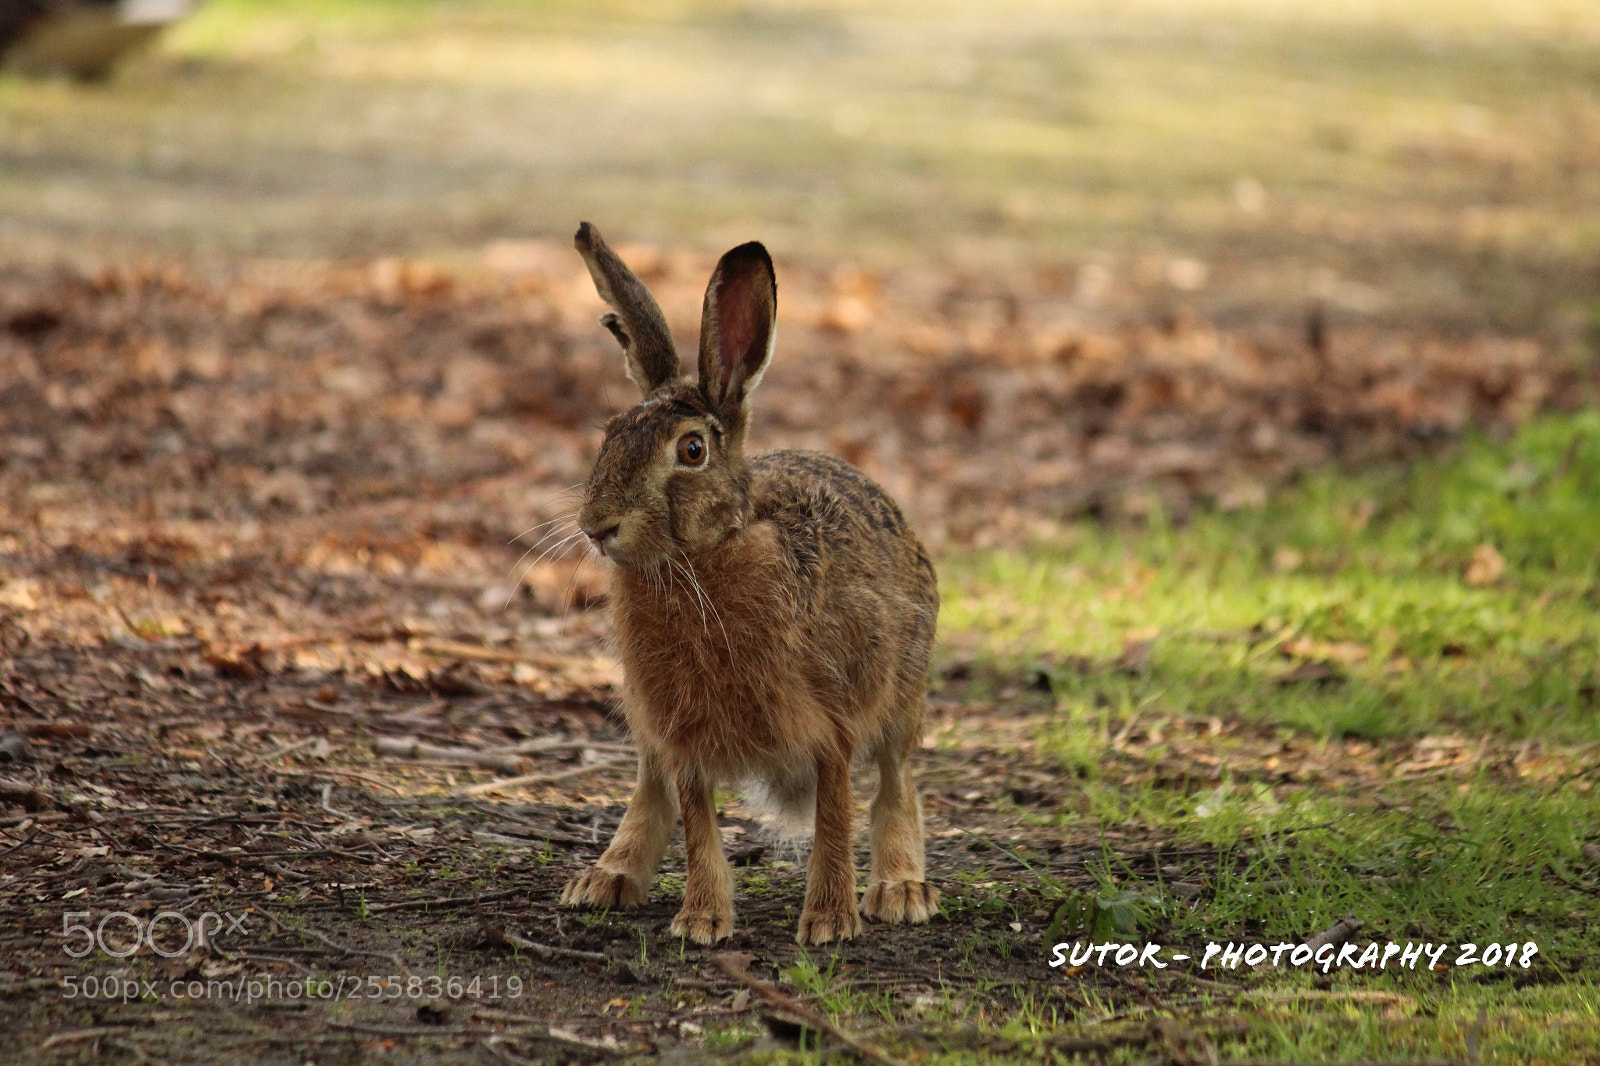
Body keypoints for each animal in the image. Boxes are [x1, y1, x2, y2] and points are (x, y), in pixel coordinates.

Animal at [558, 222, 941, 946]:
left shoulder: (833, 720)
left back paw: (902, 891)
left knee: (896, 780)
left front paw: (830, 921)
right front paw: (702, 920)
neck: (704, 560)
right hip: (640, 709)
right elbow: (696, 819)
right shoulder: (681, 734)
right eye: (611, 436)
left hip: (904, 687)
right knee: (648, 788)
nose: (598, 526)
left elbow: (835, 813)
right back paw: (606, 880)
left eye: (692, 450)